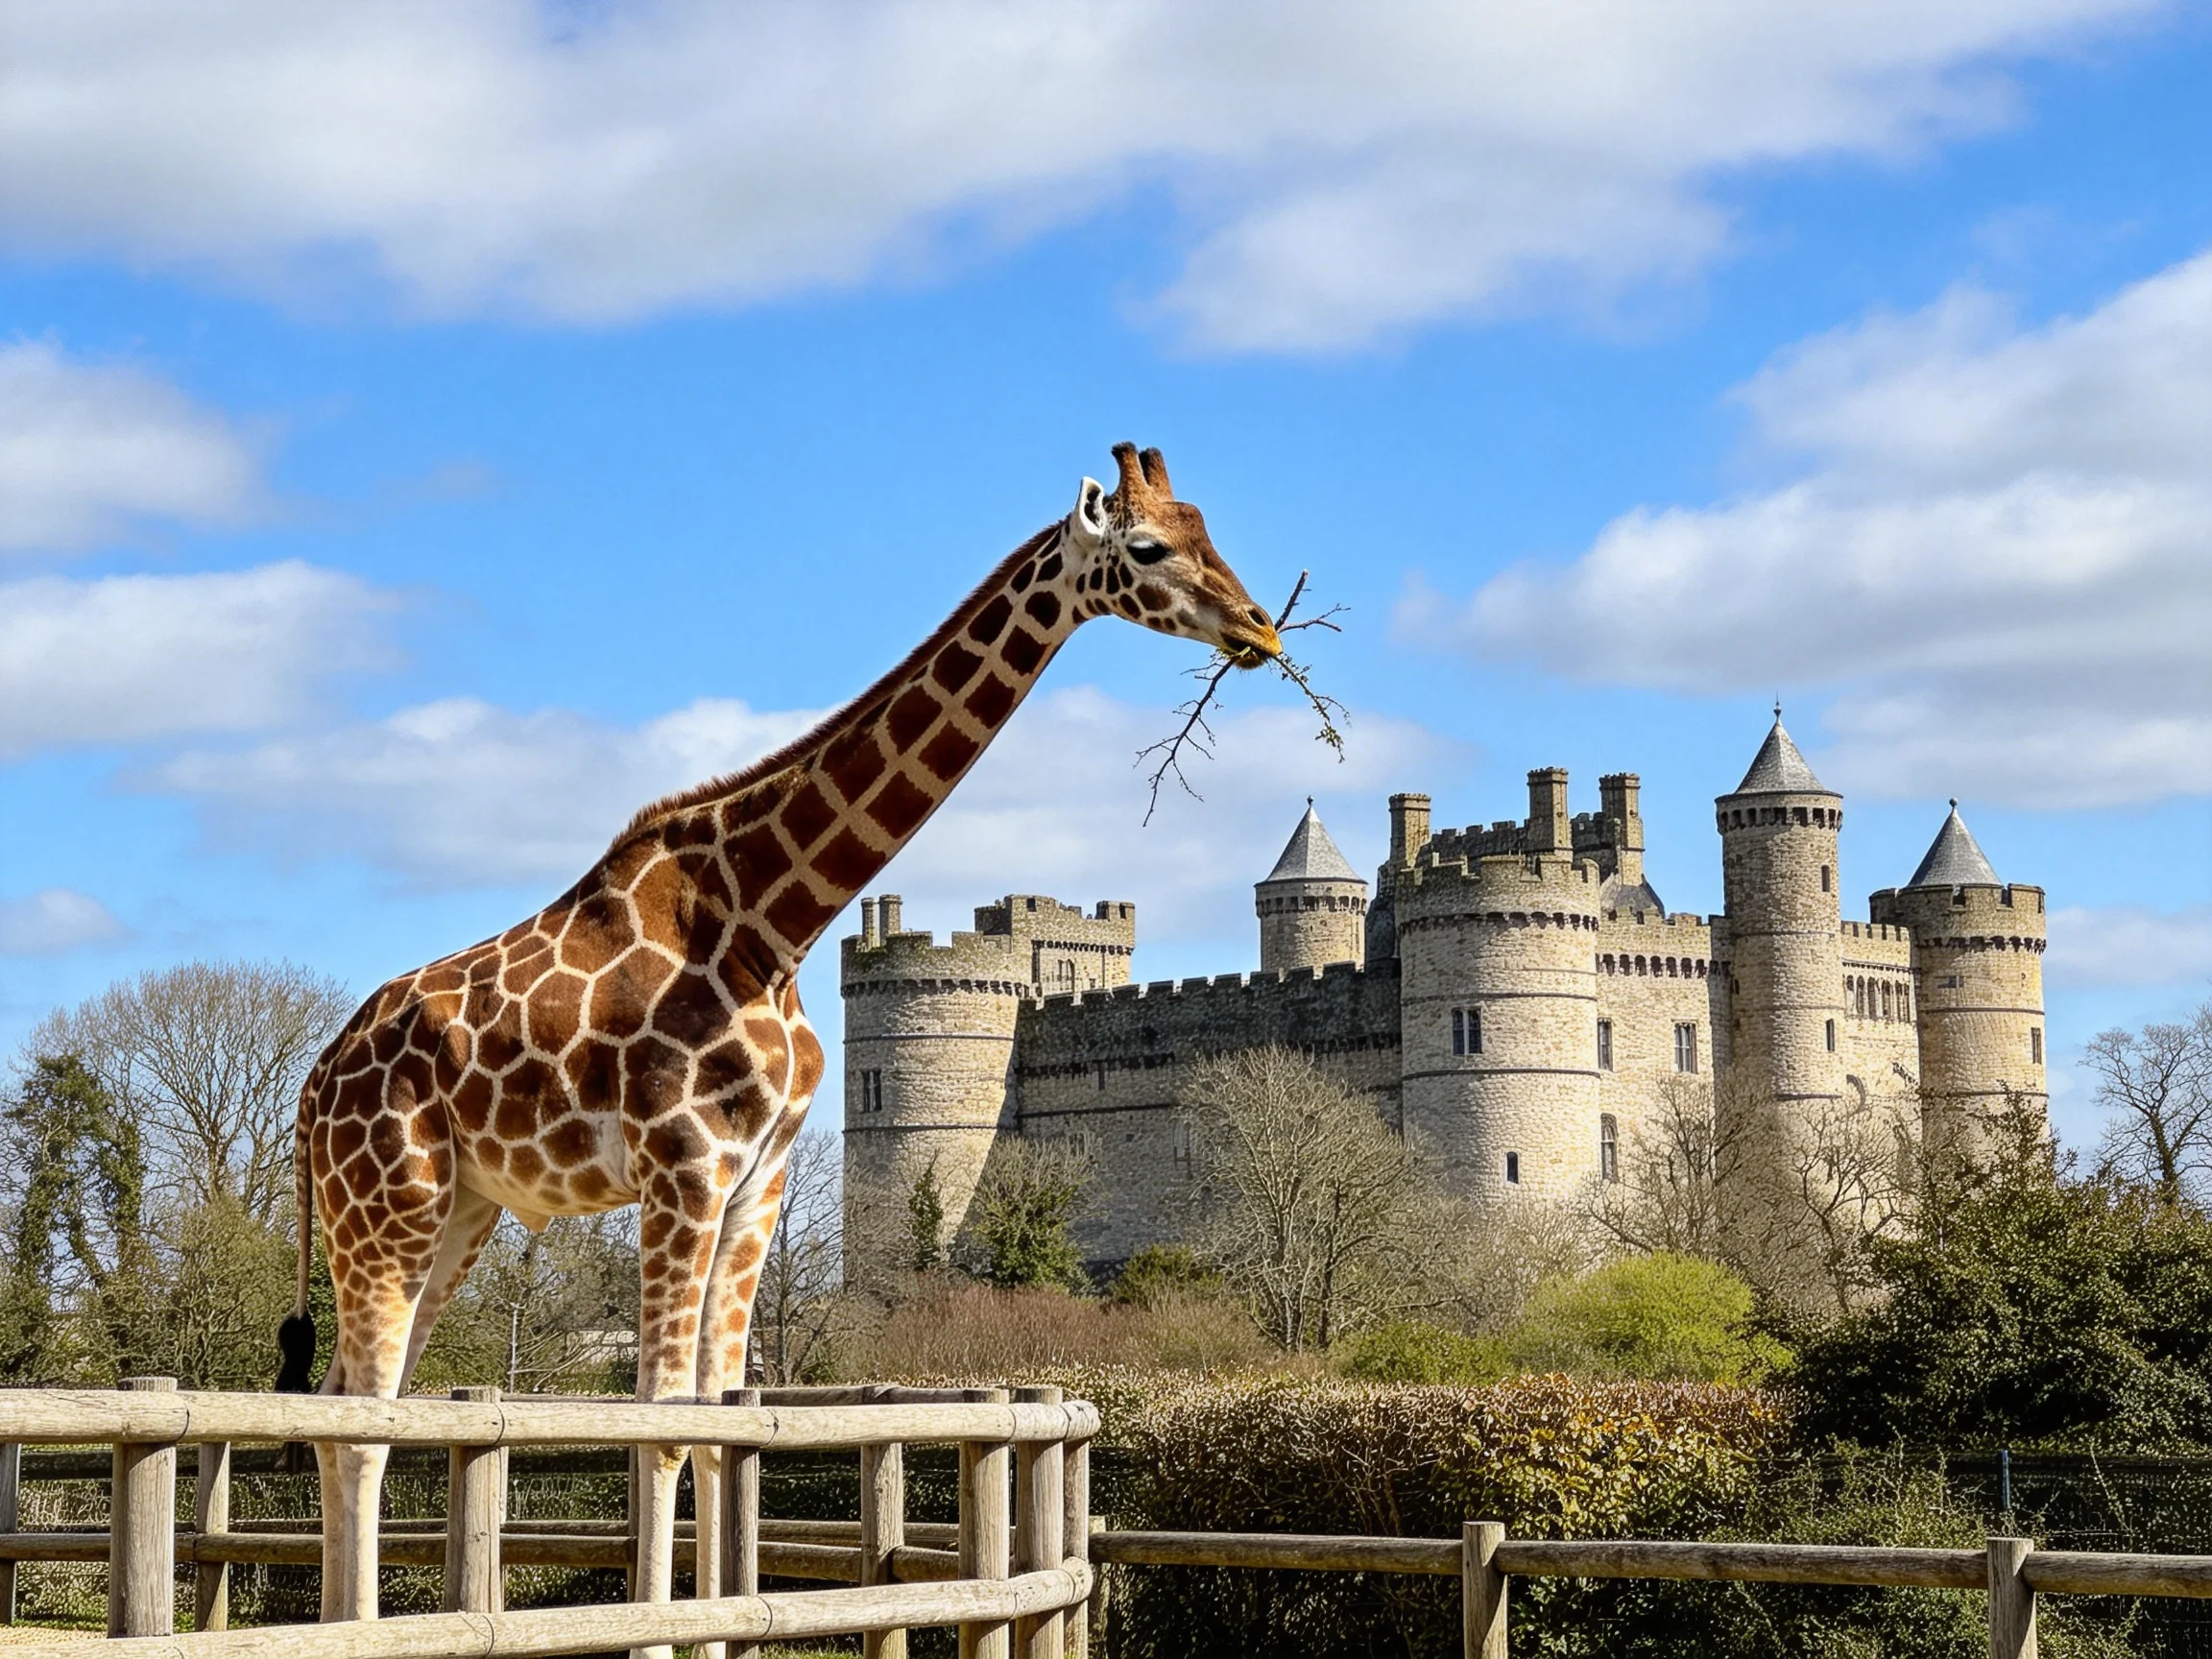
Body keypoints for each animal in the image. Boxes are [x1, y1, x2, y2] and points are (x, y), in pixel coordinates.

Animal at [273, 442, 1281, 1622]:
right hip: (386, 1207)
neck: (771, 919)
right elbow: (661, 1432)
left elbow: (725, 1430)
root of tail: (313, 1083)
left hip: (455, 1214)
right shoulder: (685, 1166)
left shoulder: (759, 1176)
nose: (1260, 626)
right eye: (1150, 547)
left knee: (349, 1412)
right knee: (359, 1427)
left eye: (1209, 528)